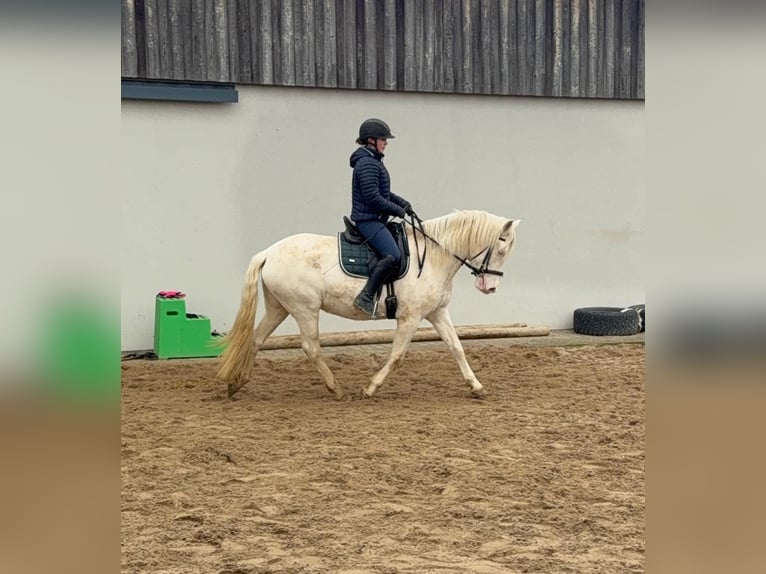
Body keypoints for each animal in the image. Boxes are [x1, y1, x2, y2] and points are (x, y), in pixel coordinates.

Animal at [216, 210, 521, 400]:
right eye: (501, 250)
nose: (490, 287)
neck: (434, 256)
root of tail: (269, 252)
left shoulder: (437, 312)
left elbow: (457, 347)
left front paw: (477, 387)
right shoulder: (410, 317)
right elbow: (397, 355)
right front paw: (370, 388)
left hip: (279, 307)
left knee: (256, 339)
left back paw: (236, 384)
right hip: (304, 309)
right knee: (311, 348)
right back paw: (336, 389)